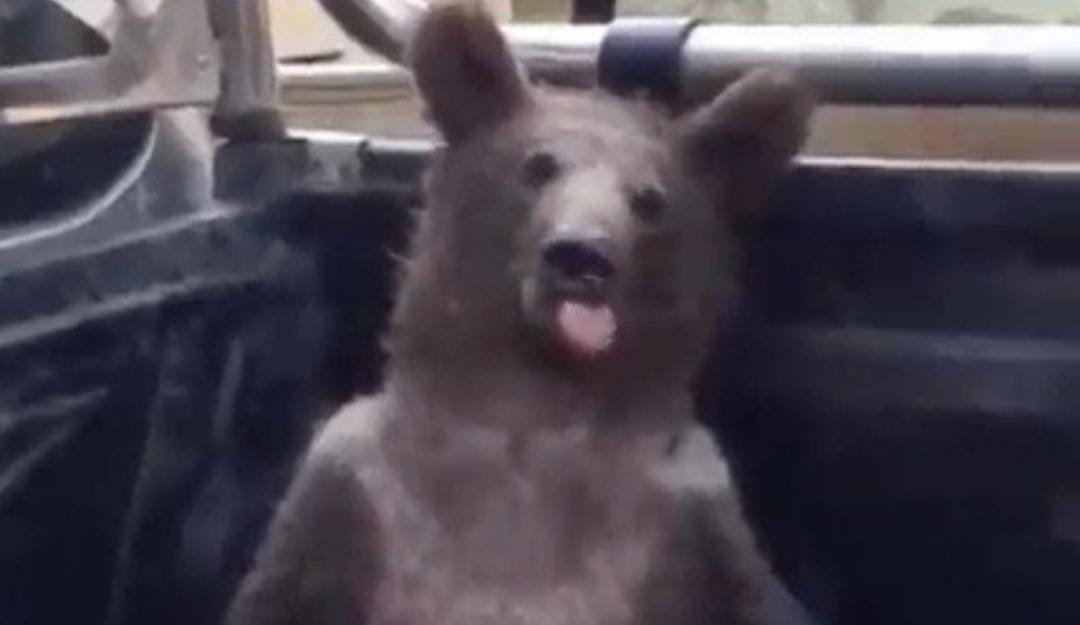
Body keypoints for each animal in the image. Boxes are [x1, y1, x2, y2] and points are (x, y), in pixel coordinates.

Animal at [225, 4, 815, 625]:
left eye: (651, 200)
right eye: (538, 166)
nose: (580, 256)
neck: (533, 416)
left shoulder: (693, 518)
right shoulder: (347, 496)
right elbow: (276, 588)